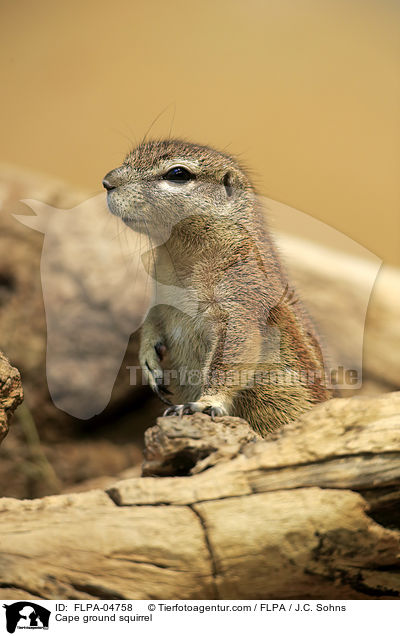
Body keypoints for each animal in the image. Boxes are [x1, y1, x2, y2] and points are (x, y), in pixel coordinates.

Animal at [104, 141, 332, 434]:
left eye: (178, 174)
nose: (106, 182)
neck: (182, 254)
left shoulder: (242, 297)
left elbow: (232, 353)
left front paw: (205, 403)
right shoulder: (160, 294)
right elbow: (151, 319)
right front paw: (148, 361)